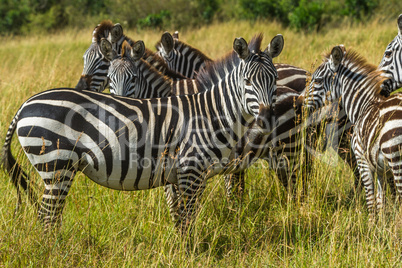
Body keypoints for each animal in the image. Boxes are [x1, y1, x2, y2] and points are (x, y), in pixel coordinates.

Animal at [1, 34, 282, 232]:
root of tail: (25, 104)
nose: (268, 119)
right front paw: (190, 253)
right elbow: (187, 219)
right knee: (47, 217)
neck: (211, 111)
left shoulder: (181, 174)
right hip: (55, 164)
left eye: (274, 80)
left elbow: (181, 217)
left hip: (57, 169)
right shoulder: (190, 169)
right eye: (247, 82)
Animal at [304, 45, 398, 214]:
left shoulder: (362, 159)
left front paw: (371, 220)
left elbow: (371, 201)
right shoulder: (380, 167)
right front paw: (383, 221)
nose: (299, 101)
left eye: (318, 80)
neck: (364, 105)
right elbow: (380, 201)